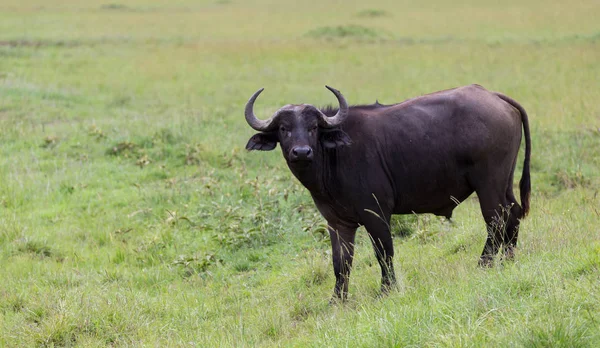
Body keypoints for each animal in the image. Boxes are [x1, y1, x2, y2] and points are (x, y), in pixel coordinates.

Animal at [243, 84, 528, 300]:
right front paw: (337, 300)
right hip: (504, 182)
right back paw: (510, 259)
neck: (335, 157)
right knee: (513, 213)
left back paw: (484, 265)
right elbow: (340, 263)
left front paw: (387, 290)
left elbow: (384, 253)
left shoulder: (376, 214)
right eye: (284, 129)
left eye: (313, 127)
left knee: (495, 220)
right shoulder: (337, 223)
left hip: (488, 184)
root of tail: (493, 95)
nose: (301, 152)